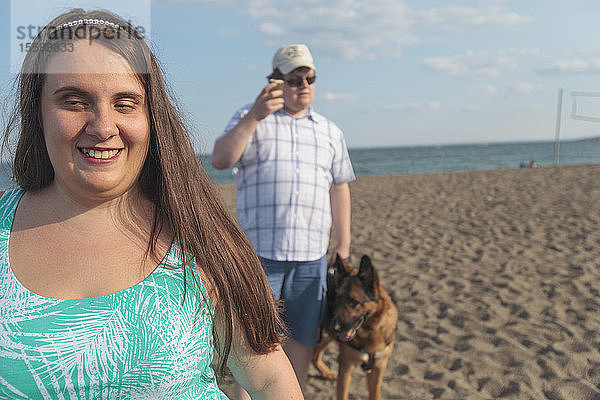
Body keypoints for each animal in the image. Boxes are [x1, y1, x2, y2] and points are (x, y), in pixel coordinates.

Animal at [314, 255, 398, 398]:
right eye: (337, 298)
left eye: (353, 302)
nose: (334, 327)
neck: (371, 333)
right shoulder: (346, 368)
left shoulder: (378, 368)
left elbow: (375, 395)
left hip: (327, 337)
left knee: (315, 355)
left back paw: (326, 373)